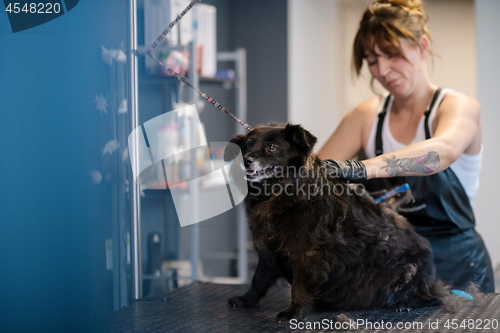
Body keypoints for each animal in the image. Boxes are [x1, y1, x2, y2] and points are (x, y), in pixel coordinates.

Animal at [224, 122, 450, 322]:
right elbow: (258, 280)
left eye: (271, 147)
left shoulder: (308, 256)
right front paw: (246, 300)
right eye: (247, 146)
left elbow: (298, 287)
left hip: (409, 270)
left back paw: (406, 302)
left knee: (434, 295)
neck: (280, 194)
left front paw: (294, 312)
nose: (246, 160)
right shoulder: (267, 252)